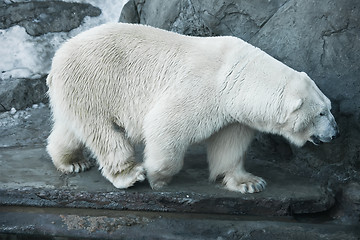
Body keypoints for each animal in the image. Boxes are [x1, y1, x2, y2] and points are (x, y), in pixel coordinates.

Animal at [46, 23, 338, 193]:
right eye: (321, 113)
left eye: (329, 107)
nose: (335, 133)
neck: (237, 76)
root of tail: (59, 55)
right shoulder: (203, 88)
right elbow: (165, 124)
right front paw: (158, 177)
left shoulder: (234, 113)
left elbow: (230, 143)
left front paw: (249, 182)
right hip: (95, 82)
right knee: (104, 132)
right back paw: (128, 174)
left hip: (78, 90)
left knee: (71, 127)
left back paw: (72, 162)